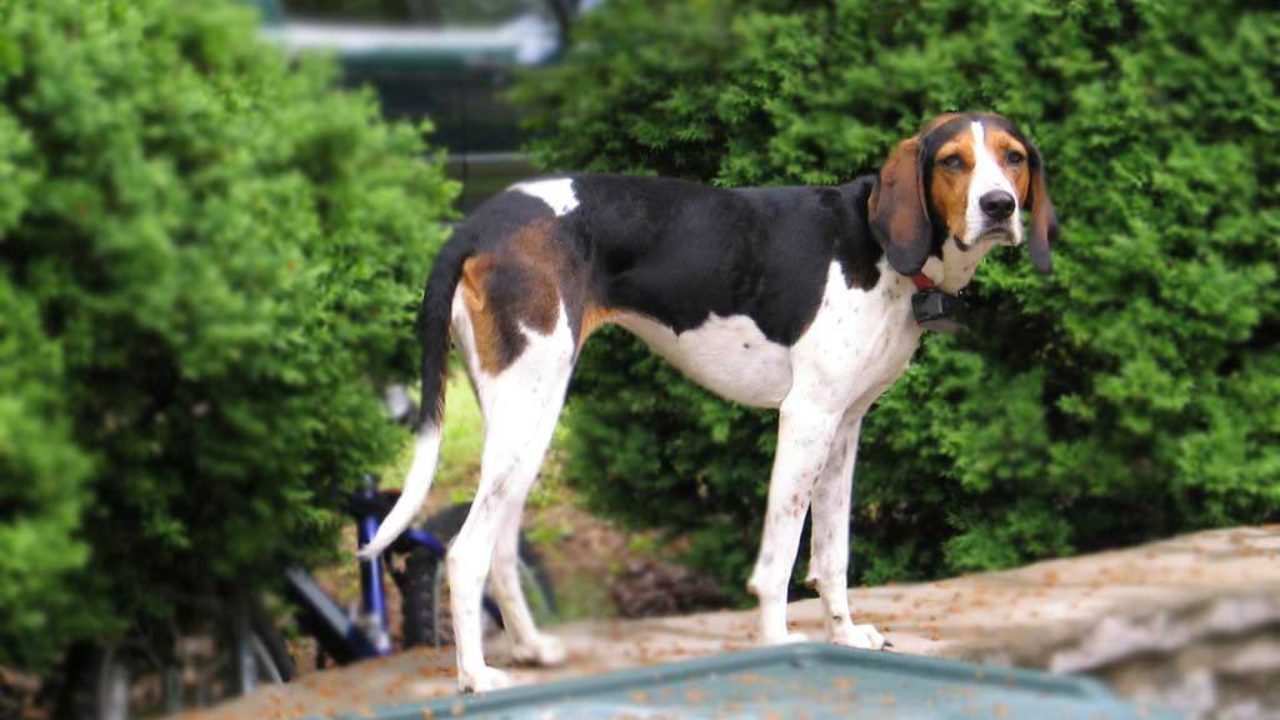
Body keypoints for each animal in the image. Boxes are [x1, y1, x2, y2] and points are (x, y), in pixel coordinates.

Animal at [363, 112, 1059, 691]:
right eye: (953, 161)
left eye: (1013, 157)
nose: (998, 206)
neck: (877, 246)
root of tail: (481, 220)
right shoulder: (805, 420)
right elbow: (780, 557)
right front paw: (779, 644)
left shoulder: (844, 428)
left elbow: (832, 553)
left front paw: (844, 635)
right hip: (528, 413)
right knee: (466, 552)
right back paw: (476, 677)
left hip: (525, 421)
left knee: (502, 549)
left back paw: (534, 649)